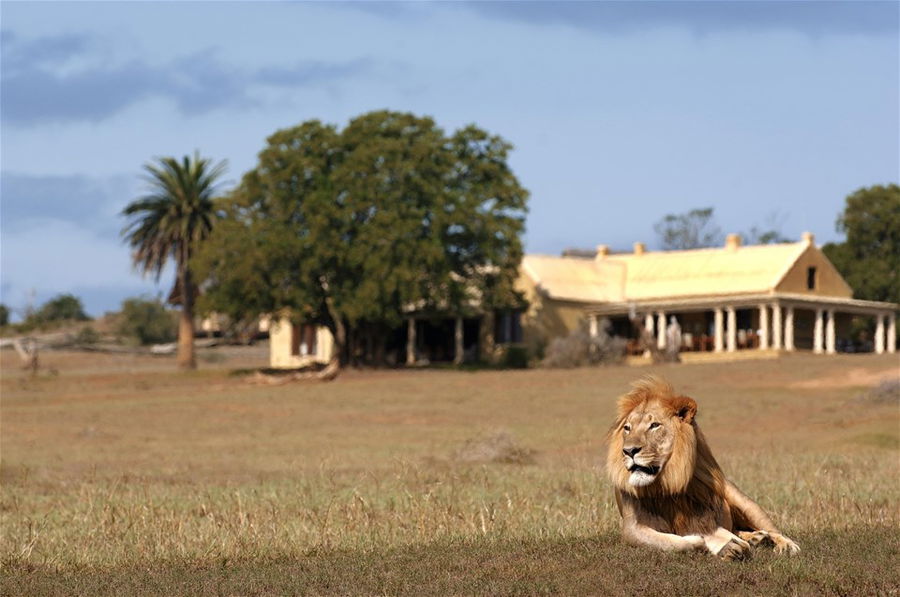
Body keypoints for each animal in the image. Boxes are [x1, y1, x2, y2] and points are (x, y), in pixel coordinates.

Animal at [608, 374, 800, 560]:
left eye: (654, 425)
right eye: (627, 428)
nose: (628, 451)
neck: (667, 482)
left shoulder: (702, 516)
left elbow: (714, 532)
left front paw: (727, 546)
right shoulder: (632, 528)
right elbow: (672, 542)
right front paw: (716, 545)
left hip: (744, 502)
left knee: (772, 529)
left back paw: (785, 545)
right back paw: (756, 538)